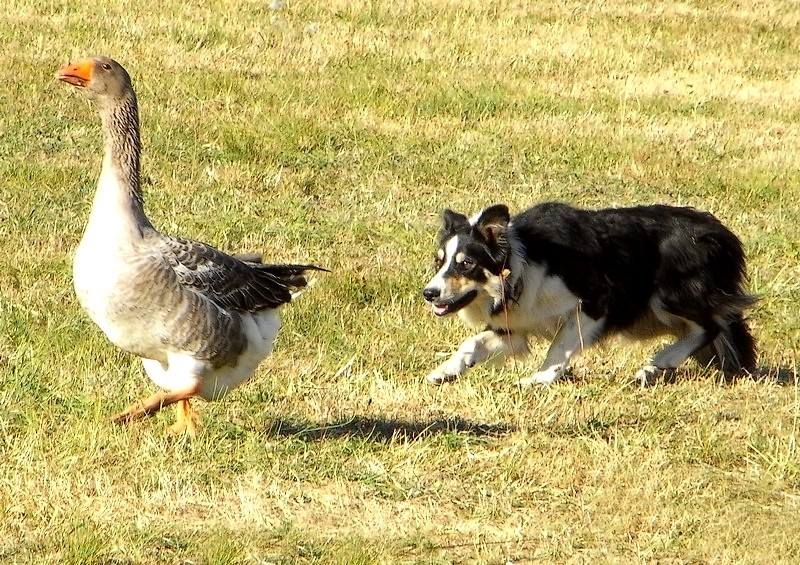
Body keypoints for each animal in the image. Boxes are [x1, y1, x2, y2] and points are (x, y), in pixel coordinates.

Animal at [422, 200, 760, 386]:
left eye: (466, 264)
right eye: (439, 262)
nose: (429, 293)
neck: (521, 266)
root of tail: (722, 233)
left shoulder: (596, 303)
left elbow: (559, 347)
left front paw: (539, 379)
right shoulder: (512, 328)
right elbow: (472, 344)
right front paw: (446, 371)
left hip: (668, 295)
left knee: (712, 324)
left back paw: (663, 359)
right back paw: (656, 369)